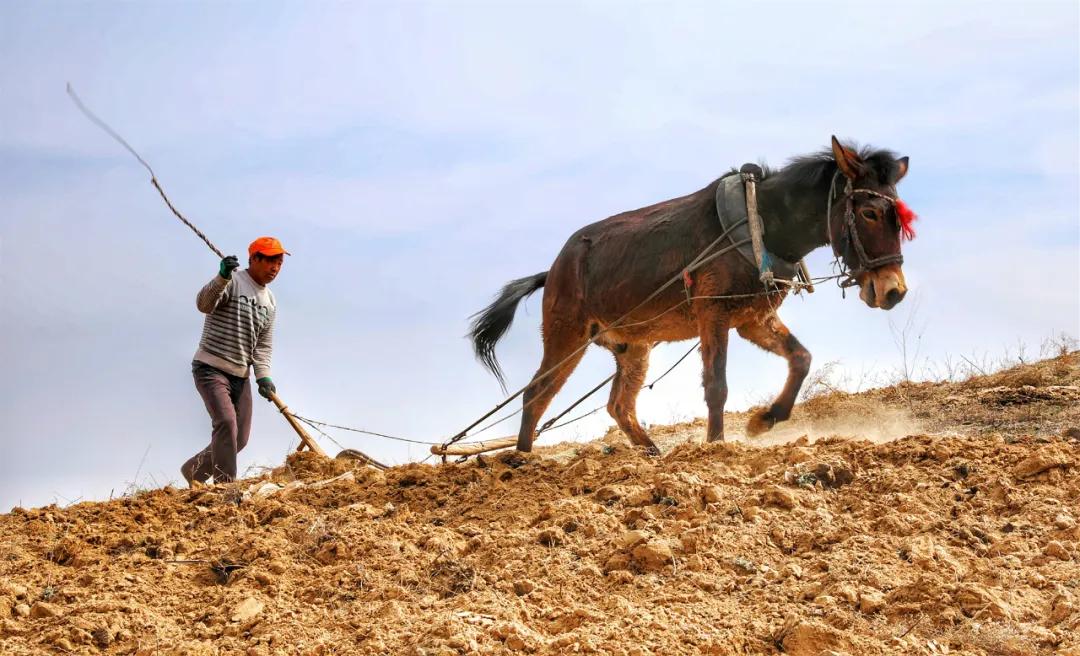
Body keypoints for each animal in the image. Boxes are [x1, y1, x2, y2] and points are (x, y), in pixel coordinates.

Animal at [470, 136, 911, 453]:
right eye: (869, 213)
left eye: (900, 217)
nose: (894, 291)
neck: (761, 222)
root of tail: (554, 269)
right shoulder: (712, 314)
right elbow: (717, 385)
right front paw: (715, 448)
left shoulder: (753, 319)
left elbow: (801, 359)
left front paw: (764, 420)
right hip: (567, 335)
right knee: (536, 395)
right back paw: (522, 460)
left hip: (633, 346)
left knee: (618, 404)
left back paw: (651, 453)